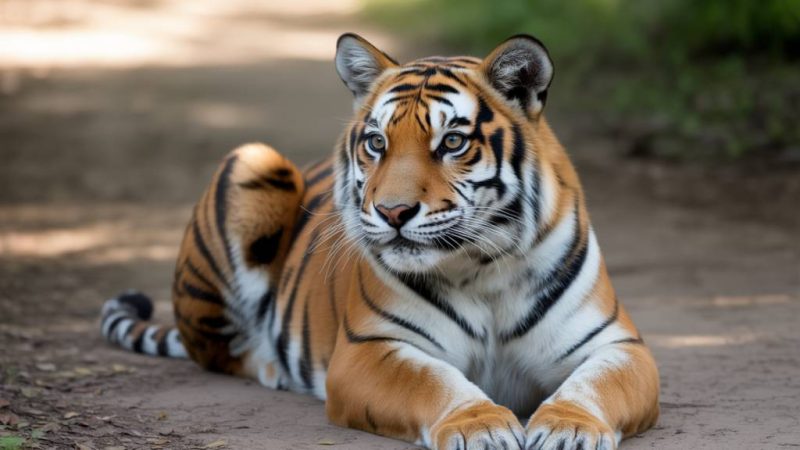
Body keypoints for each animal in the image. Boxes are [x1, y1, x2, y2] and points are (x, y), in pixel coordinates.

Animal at [100, 33, 660, 450]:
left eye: (452, 142)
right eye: (376, 142)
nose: (392, 212)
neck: (480, 266)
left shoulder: (616, 344)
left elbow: (593, 385)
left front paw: (569, 427)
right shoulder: (369, 349)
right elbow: (433, 381)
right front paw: (481, 425)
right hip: (252, 159)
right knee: (218, 349)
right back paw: (271, 364)